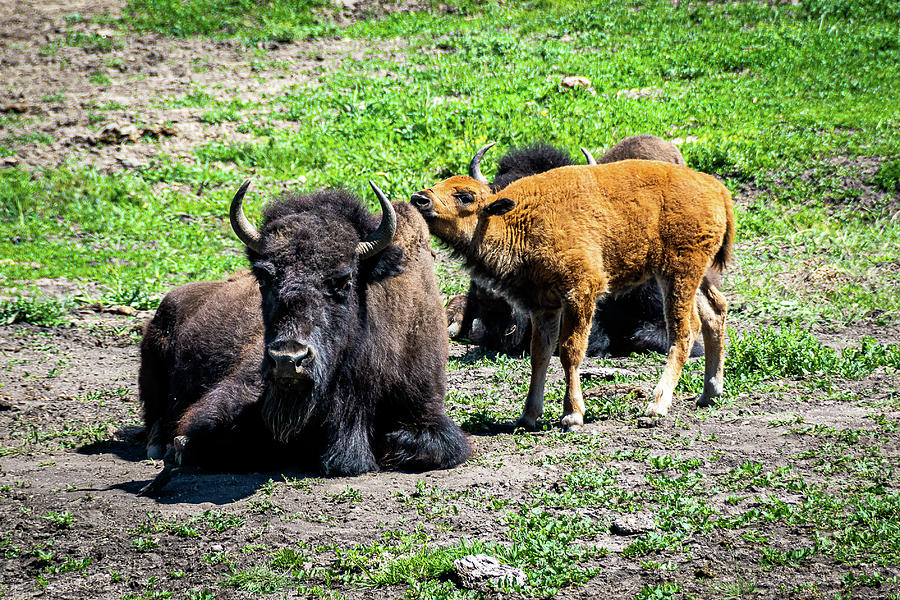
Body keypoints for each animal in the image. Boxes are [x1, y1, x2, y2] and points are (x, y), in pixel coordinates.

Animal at [412, 158, 736, 432]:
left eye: (465, 196)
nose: (419, 199)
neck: (516, 220)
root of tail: (716, 188)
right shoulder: (543, 305)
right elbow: (540, 354)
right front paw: (527, 416)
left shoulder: (580, 293)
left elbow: (569, 351)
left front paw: (572, 415)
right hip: (697, 275)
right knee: (715, 312)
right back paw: (709, 393)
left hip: (677, 274)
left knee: (685, 331)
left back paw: (657, 406)